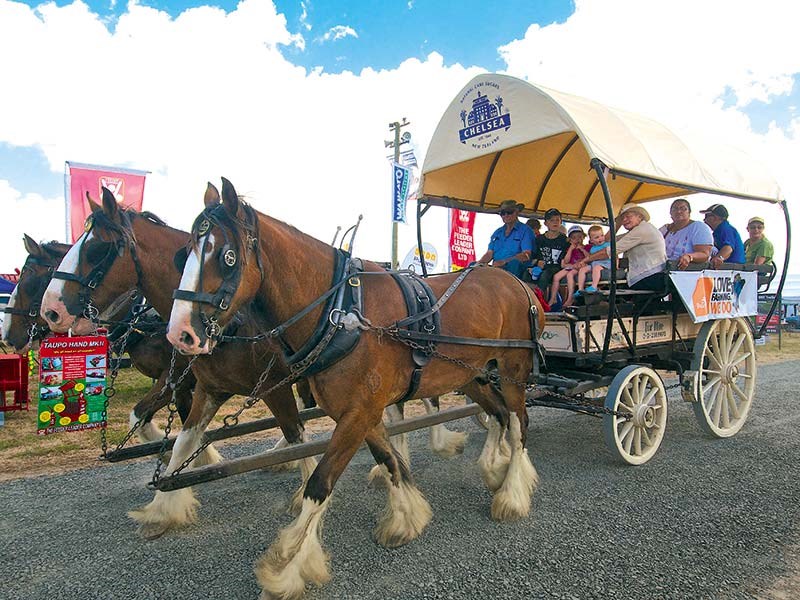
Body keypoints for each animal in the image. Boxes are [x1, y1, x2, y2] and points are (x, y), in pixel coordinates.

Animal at [168, 178, 544, 600]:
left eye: (227, 257)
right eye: (183, 254)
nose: (180, 333)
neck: (341, 311)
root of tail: (518, 283)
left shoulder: (358, 413)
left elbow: (319, 484)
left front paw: (286, 570)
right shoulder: (364, 412)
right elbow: (390, 461)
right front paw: (406, 518)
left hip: (512, 372)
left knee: (519, 422)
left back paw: (512, 494)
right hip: (472, 375)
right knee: (499, 415)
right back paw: (495, 470)